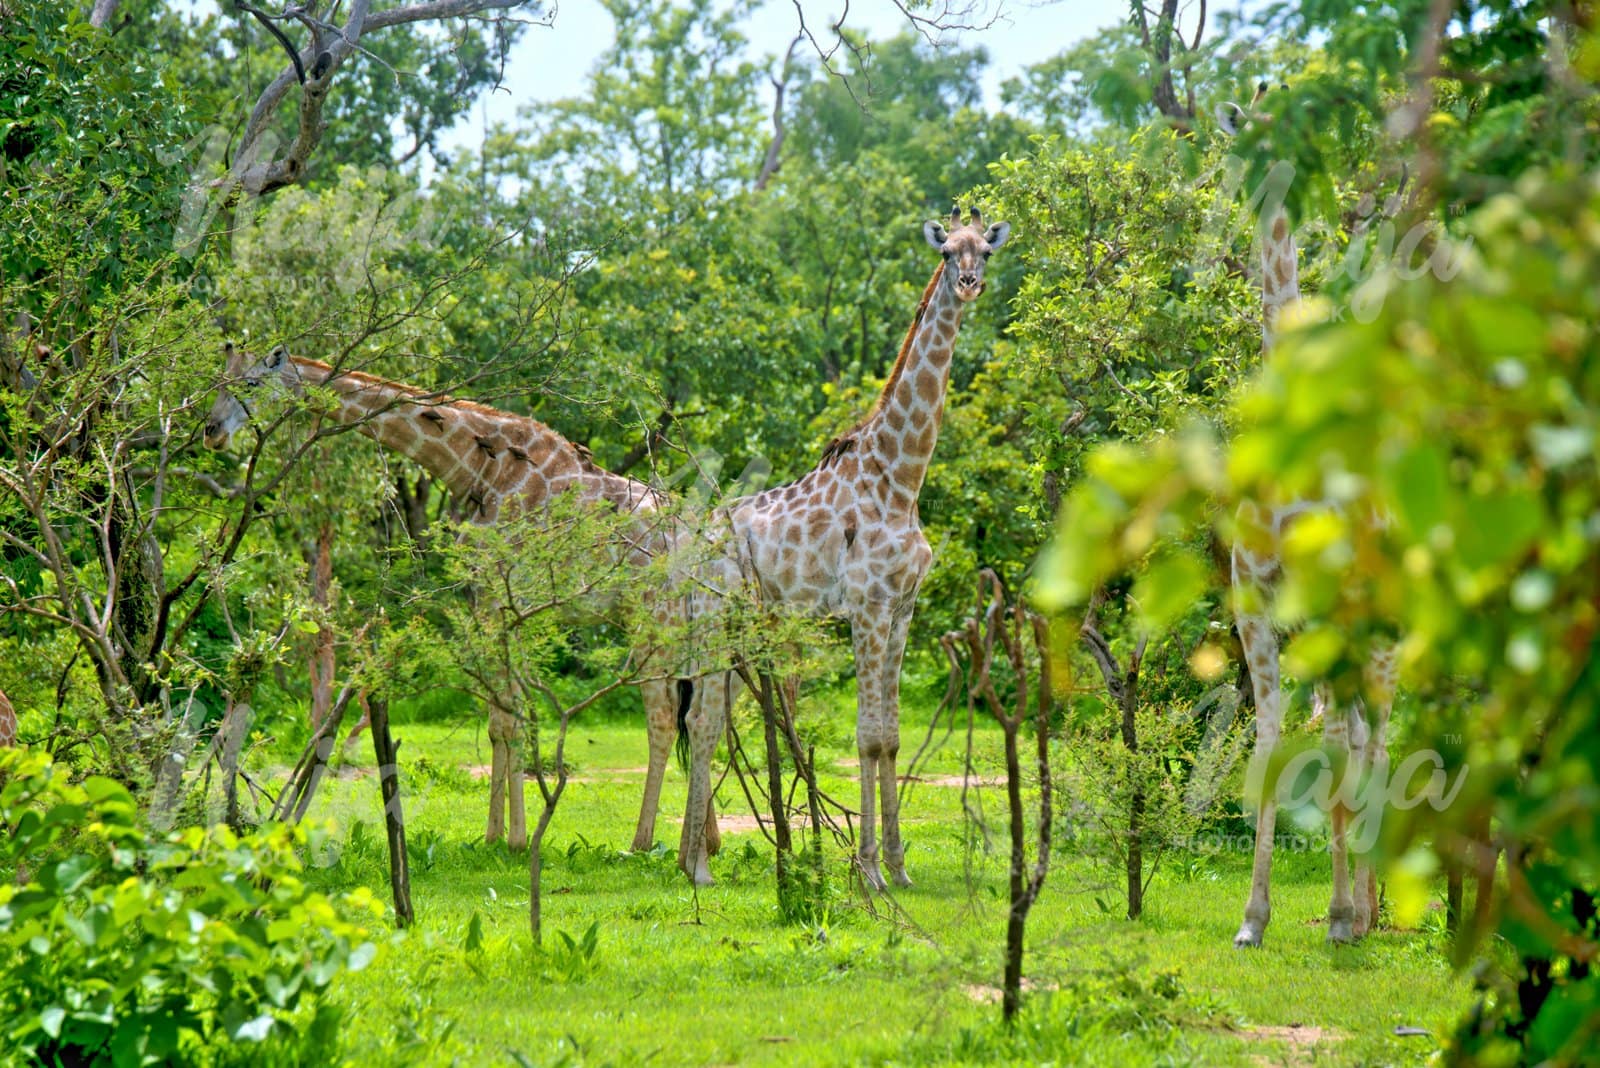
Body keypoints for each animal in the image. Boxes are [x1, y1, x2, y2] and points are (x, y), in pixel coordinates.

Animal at [202, 343, 722, 856]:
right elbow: (498, 721)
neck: (477, 467)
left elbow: (511, 720)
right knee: (697, 715)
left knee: (664, 719)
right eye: (217, 383)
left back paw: (644, 842)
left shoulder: (502, 596)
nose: (211, 431)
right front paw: (493, 835)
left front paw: (516, 839)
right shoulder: (490, 602)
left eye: (251, 383)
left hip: (653, 614)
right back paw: (704, 842)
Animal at [674, 208, 1011, 890]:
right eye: (946, 254)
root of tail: (695, 542)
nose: (968, 283)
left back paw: (696, 863)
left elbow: (892, 735)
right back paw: (697, 870)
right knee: (700, 720)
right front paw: (869, 873)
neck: (902, 479)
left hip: (738, 624)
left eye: (986, 251)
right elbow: (866, 736)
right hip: (714, 617)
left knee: (708, 719)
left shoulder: (902, 609)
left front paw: (899, 870)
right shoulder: (867, 607)